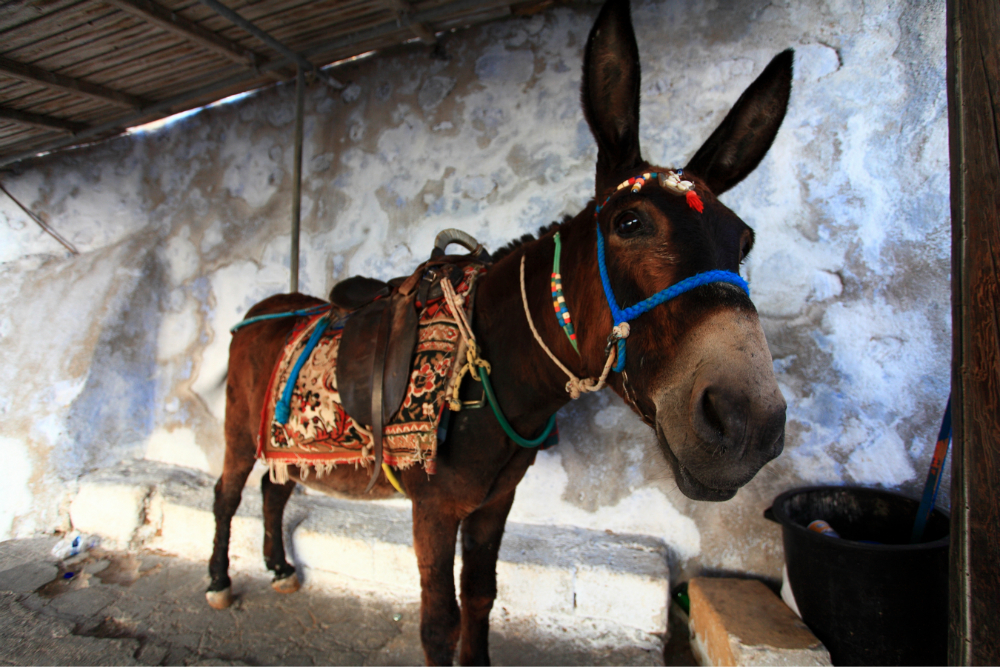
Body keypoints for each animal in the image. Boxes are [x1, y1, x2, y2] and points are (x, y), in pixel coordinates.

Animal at [207, 0, 791, 663]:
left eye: (744, 242)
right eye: (629, 222)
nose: (747, 423)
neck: (494, 369)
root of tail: (266, 308)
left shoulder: (493, 503)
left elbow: (481, 597)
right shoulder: (435, 509)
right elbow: (439, 619)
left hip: (284, 446)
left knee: (274, 490)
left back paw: (279, 569)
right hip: (238, 429)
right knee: (228, 493)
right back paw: (221, 581)